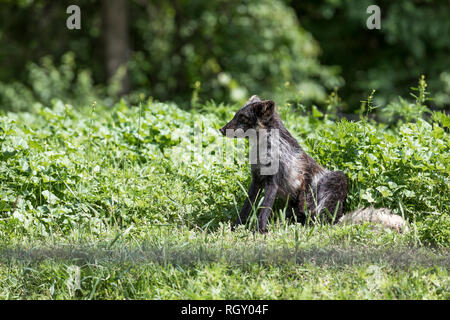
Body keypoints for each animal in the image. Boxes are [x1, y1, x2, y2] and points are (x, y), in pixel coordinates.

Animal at [220, 94, 410, 232]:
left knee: (317, 223)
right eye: (236, 115)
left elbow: (263, 211)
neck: (263, 150)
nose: (221, 129)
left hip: (334, 181)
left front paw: (259, 232)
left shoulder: (272, 182)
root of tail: (336, 220)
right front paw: (235, 229)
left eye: (243, 117)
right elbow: (245, 209)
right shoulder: (257, 181)